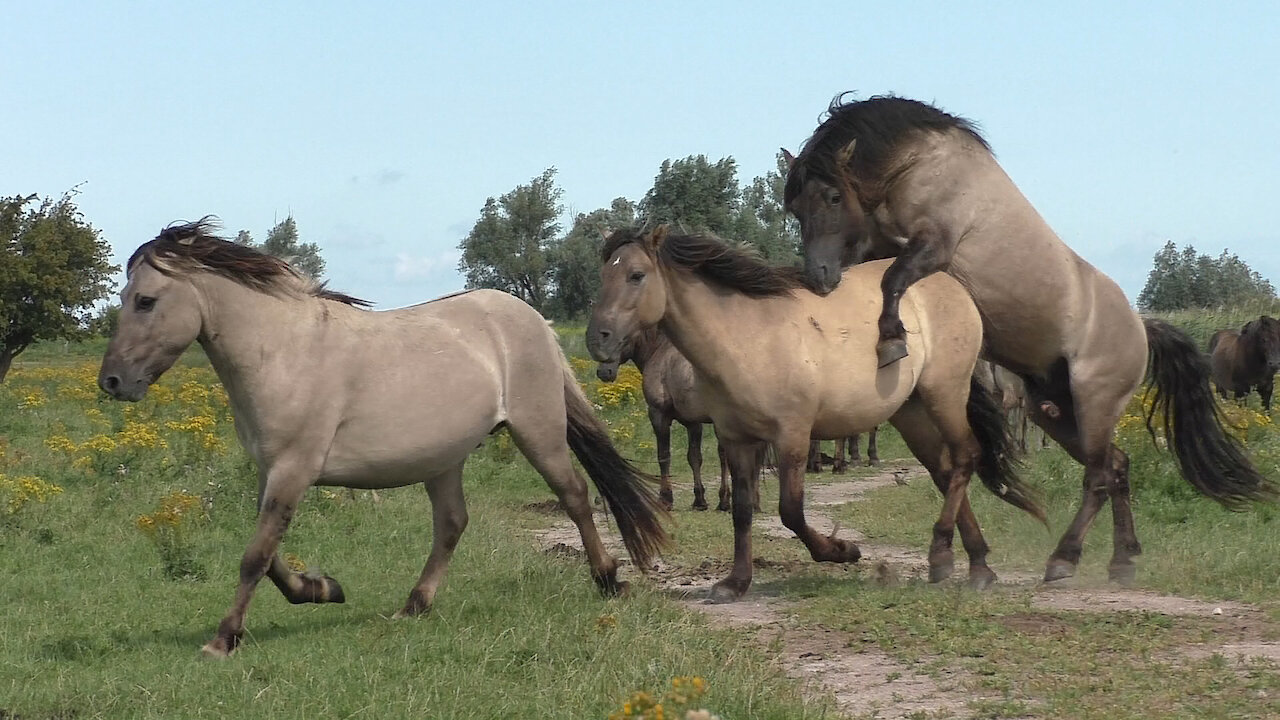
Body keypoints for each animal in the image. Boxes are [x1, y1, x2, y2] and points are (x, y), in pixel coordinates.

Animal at [99, 219, 670, 655]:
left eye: (145, 301)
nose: (112, 382)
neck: (283, 351)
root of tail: (535, 320)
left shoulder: (294, 470)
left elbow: (255, 556)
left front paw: (224, 639)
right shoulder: (273, 472)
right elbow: (271, 554)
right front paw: (322, 589)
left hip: (539, 431)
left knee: (574, 495)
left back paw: (608, 579)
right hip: (445, 458)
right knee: (452, 523)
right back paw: (414, 606)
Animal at [591, 325, 737, 509]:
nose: (604, 372)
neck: (658, 349)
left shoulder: (658, 415)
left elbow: (664, 456)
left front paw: (666, 499)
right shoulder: (693, 423)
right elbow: (694, 457)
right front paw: (699, 499)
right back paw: (725, 500)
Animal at [783, 92, 1274, 584]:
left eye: (832, 196)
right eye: (796, 208)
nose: (819, 277)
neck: (918, 161)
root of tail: (1142, 329)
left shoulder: (933, 246)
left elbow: (893, 280)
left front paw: (891, 339)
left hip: (1095, 405)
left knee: (1099, 476)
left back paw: (1064, 559)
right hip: (1054, 413)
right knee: (1116, 466)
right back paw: (1122, 559)